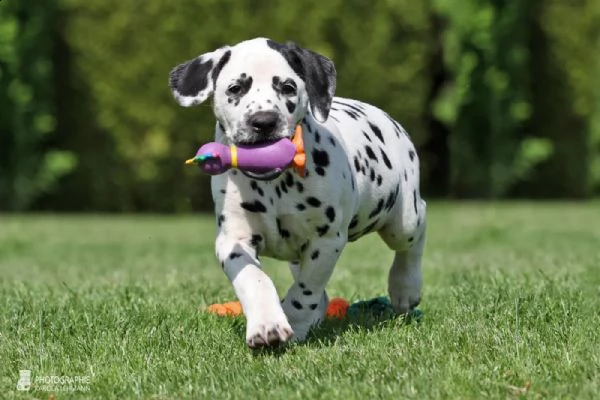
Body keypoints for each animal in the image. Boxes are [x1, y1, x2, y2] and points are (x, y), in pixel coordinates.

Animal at [169, 39, 426, 348]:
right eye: (236, 88)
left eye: (288, 87)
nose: (264, 121)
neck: (274, 184)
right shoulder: (233, 240)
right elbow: (255, 280)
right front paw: (267, 324)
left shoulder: (326, 241)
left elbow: (305, 291)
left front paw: (295, 321)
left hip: (403, 220)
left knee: (416, 230)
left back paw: (405, 287)